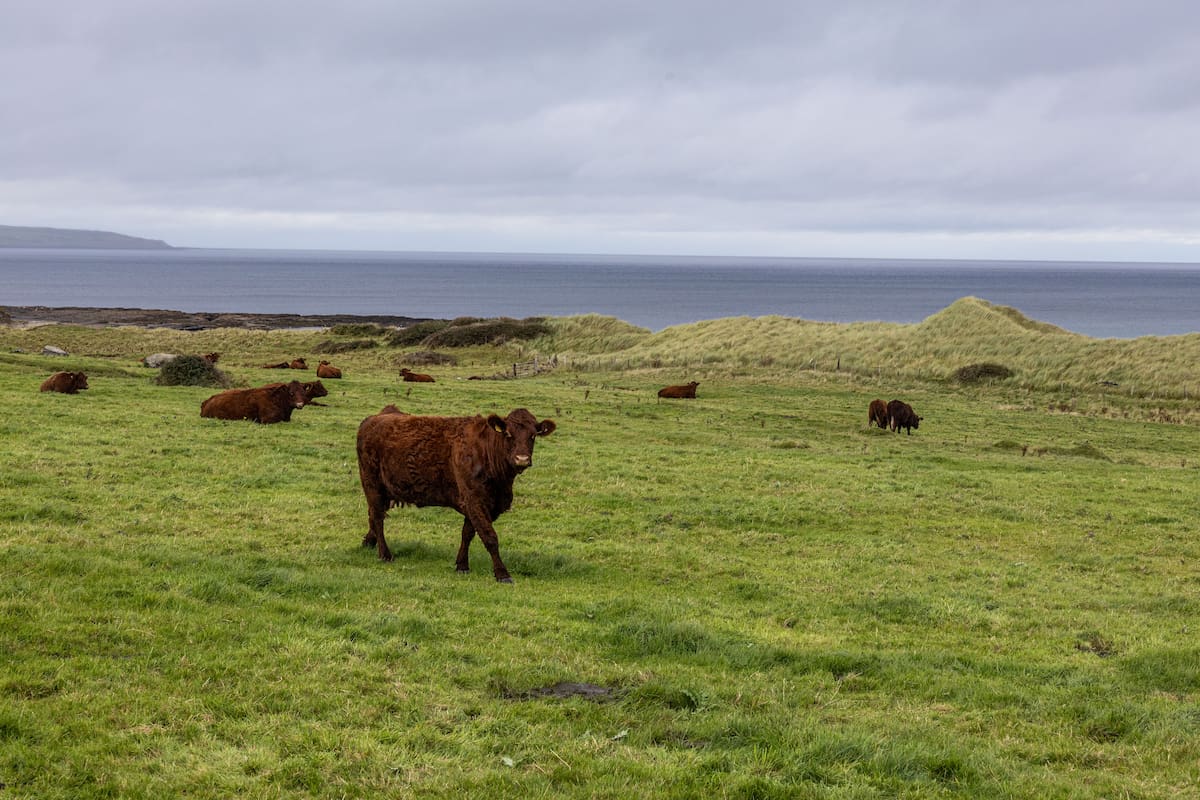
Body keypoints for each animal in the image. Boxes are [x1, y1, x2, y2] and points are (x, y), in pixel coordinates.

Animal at [356, 407, 556, 583]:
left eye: (533, 436)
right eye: (508, 434)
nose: (522, 459)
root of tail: (375, 417)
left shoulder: (480, 503)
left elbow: (467, 533)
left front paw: (462, 565)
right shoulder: (474, 499)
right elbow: (489, 536)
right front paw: (502, 574)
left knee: (373, 515)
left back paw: (368, 543)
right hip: (372, 484)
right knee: (377, 518)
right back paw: (385, 554)